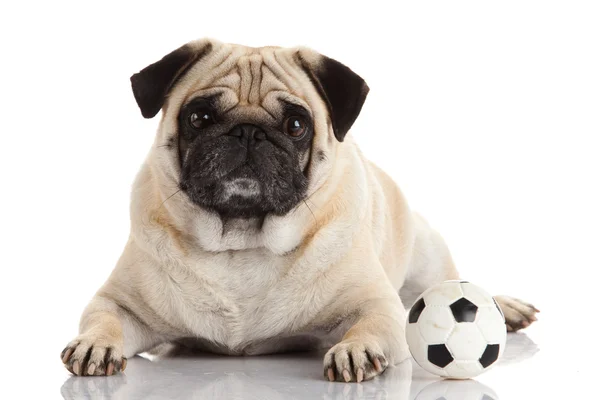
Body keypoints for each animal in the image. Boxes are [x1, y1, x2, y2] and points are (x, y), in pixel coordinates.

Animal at [61, 39, 540, 382]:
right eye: (198, 118)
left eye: (296, 125)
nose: (247, 132)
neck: (241, 243)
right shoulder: (121, 303)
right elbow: (104, 320)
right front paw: (94, 344)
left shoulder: (376, 304)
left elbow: (372, 324)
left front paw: (355, 350)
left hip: (427, 257)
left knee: (454, 286)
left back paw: (505, 307)